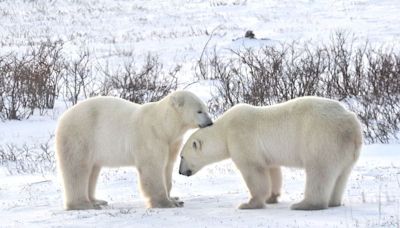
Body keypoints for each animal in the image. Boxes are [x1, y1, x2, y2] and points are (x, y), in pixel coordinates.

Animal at [55, 90, 216, 210]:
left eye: (206, 109)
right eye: (199, 111)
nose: (210, 123)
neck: (163, 126)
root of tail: (63, 117)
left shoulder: (171, 142)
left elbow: (167, 167)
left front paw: (175, 198)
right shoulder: (152, 137)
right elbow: (152, 168)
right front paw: (166, 203)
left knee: (92, 170)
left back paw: (97, 200)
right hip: (80, 136)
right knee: (77, 169)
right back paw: (83, 204)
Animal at [178, 96, 362, 210]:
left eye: (182, 156)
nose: (180, 172)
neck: (224, 130)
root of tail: (351, 124)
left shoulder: (241, 137)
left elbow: (253, 170)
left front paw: (249, 204)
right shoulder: (267, 154)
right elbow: (273, 170)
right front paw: (272, 197)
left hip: (321, 138)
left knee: (319, 171)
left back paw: (304, 204)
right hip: (346, 150)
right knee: (341, 174)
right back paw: (333, 202)